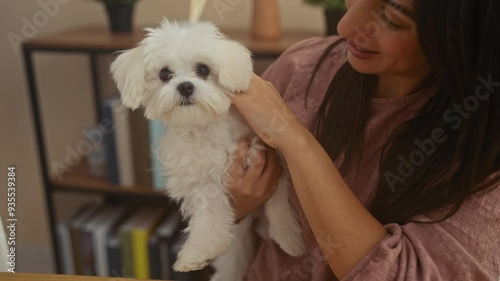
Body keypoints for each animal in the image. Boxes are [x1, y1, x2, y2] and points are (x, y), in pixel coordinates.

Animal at [111, 18, 304, 278]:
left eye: (203, 70)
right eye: (164, 73)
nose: (185, 86)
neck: (202, 127)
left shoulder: (267, 155)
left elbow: (279, 201)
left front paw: (289, 236)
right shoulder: (201, 181)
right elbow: (209, 215)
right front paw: (198, 253)